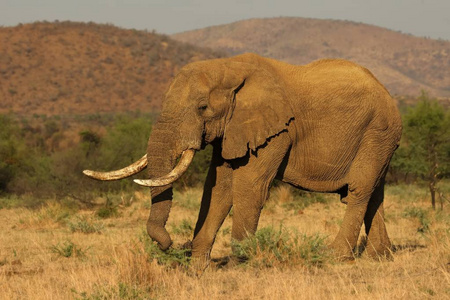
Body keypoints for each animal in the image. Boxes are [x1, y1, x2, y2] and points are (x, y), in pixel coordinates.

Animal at [83, 52, 400, 268]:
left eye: (202, 107)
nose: (173, 245)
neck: (229, 67)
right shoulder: (231, 130)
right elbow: (217, 189)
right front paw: (197, 267)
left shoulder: (276, 132)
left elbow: (248, 188)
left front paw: (240, 264)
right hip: (380, 138)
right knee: (374, 192)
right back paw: (379, 256)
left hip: (378, 131)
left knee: (358, 190)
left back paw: (335, 256)